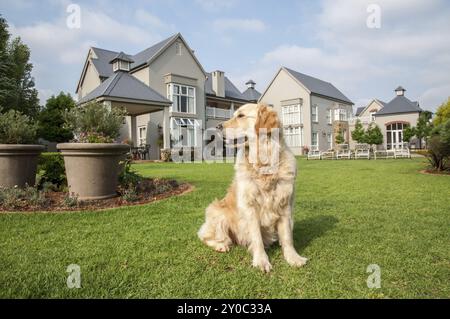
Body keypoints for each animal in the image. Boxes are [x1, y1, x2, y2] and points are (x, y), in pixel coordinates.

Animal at [199, 103, 308, 272]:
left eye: (241, 116)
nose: (217, 126)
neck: (263, 161)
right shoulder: (250, 207)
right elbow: (256, 237)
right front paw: (261, 261)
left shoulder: (285, 204)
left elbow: (287, 237)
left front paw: (293, 258)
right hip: (217, 212)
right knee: (206, 236)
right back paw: (221, 245)